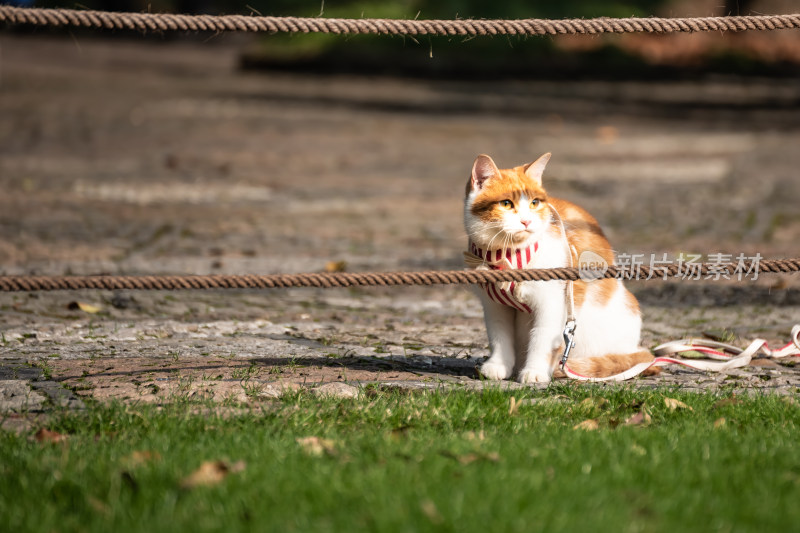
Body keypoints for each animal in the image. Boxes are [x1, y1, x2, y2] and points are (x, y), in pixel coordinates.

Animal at [462, 153, 656, 382]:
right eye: (506, 204)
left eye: (534, 203)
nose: (526, 221)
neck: (510, 256)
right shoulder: (494, 305)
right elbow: (499, 336)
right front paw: (497, 365)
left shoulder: (552, 303)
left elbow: (542, 337)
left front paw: (535, 371)